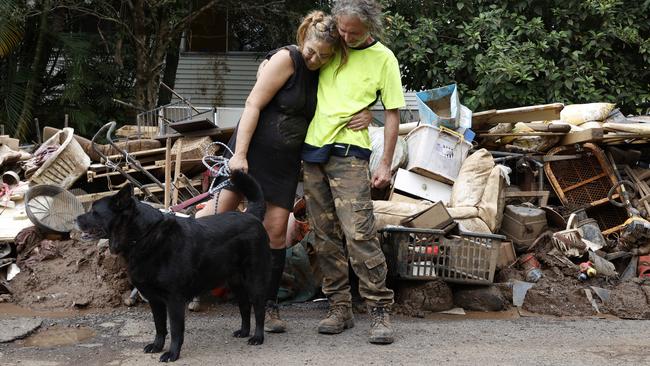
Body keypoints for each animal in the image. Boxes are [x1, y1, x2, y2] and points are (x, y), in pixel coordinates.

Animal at [76, 170, 268, 362]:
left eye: (94, 212)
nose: (75, 218)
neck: (144, 235)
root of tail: (251, 214)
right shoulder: (155, 300)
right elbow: (160, 327)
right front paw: (157, 346)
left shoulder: (174, 299)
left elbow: (175, 330)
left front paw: (172, 353)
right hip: (236, 282)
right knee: (244, 306)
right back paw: (244, 331)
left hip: (255, 281)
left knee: (259, 309)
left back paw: (257, 337)